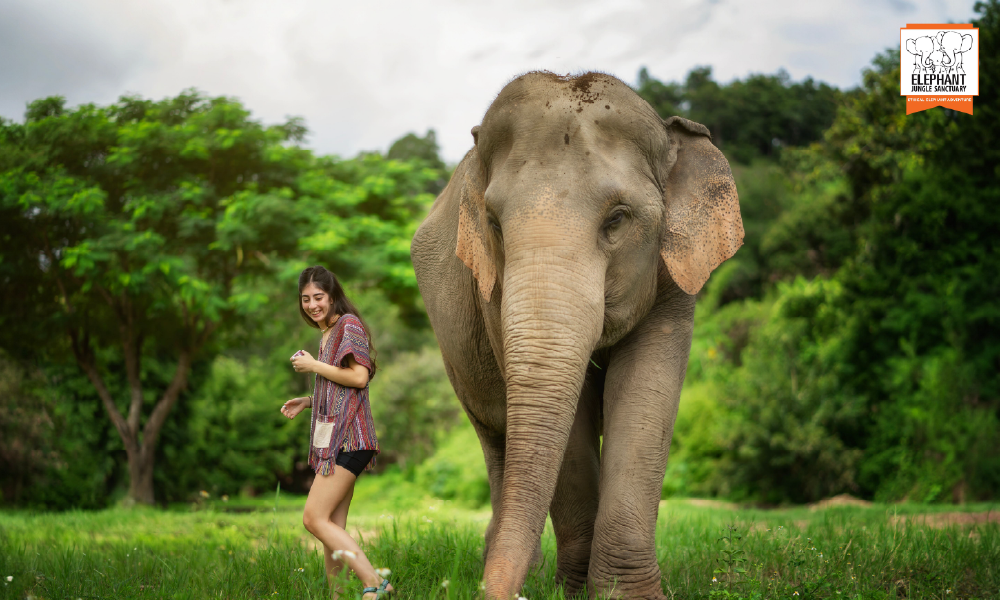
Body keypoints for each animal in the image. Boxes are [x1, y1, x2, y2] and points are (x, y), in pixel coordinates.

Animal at [410, 71, 743, 600]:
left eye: (618, 219)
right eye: (494, 224)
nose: (496, 594)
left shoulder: (674, 279)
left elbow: (646, 392)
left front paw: (626, 594)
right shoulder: (492, 294)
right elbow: (571, 413)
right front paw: (576, 589)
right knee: (496, 437)